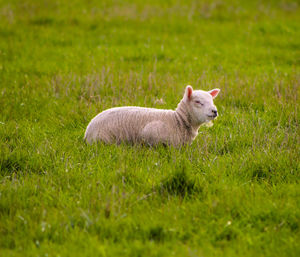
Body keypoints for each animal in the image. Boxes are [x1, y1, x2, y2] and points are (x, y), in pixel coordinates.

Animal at [84, 85, 220, 146]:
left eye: (212, 100)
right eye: (198, 102)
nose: (214, 111)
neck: (177, 121)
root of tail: (87, 131)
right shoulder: (151, 133)